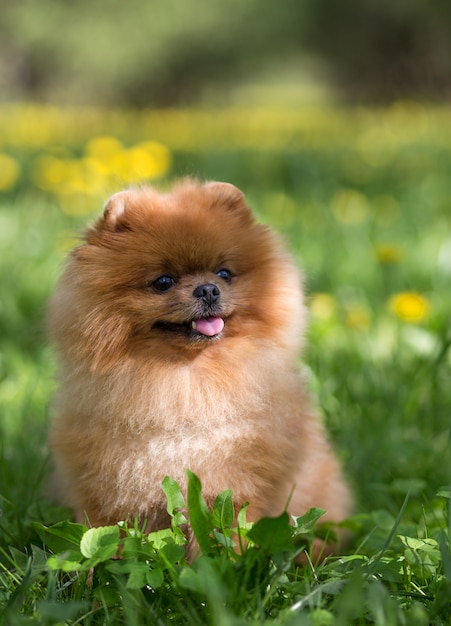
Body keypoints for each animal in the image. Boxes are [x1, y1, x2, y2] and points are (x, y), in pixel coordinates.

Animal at [49, 178, 354, 552]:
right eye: (163, 281)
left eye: (224, 273)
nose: (208, 289)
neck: (188, 384)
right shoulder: (104, 489)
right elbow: (107, 538)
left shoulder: (235, 485)